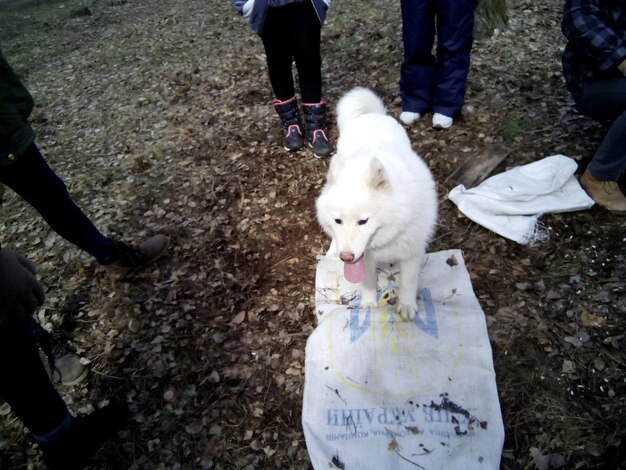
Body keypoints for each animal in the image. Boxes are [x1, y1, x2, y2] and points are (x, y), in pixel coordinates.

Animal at [314, 86, 436, 322]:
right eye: (338, 220)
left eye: (363, 221)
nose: (346, 257)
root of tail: (371, 115)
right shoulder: (365, 259)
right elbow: (368, 282)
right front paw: (369, 306)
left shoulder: (411, 253)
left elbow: (408, 283)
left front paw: (407, 307)